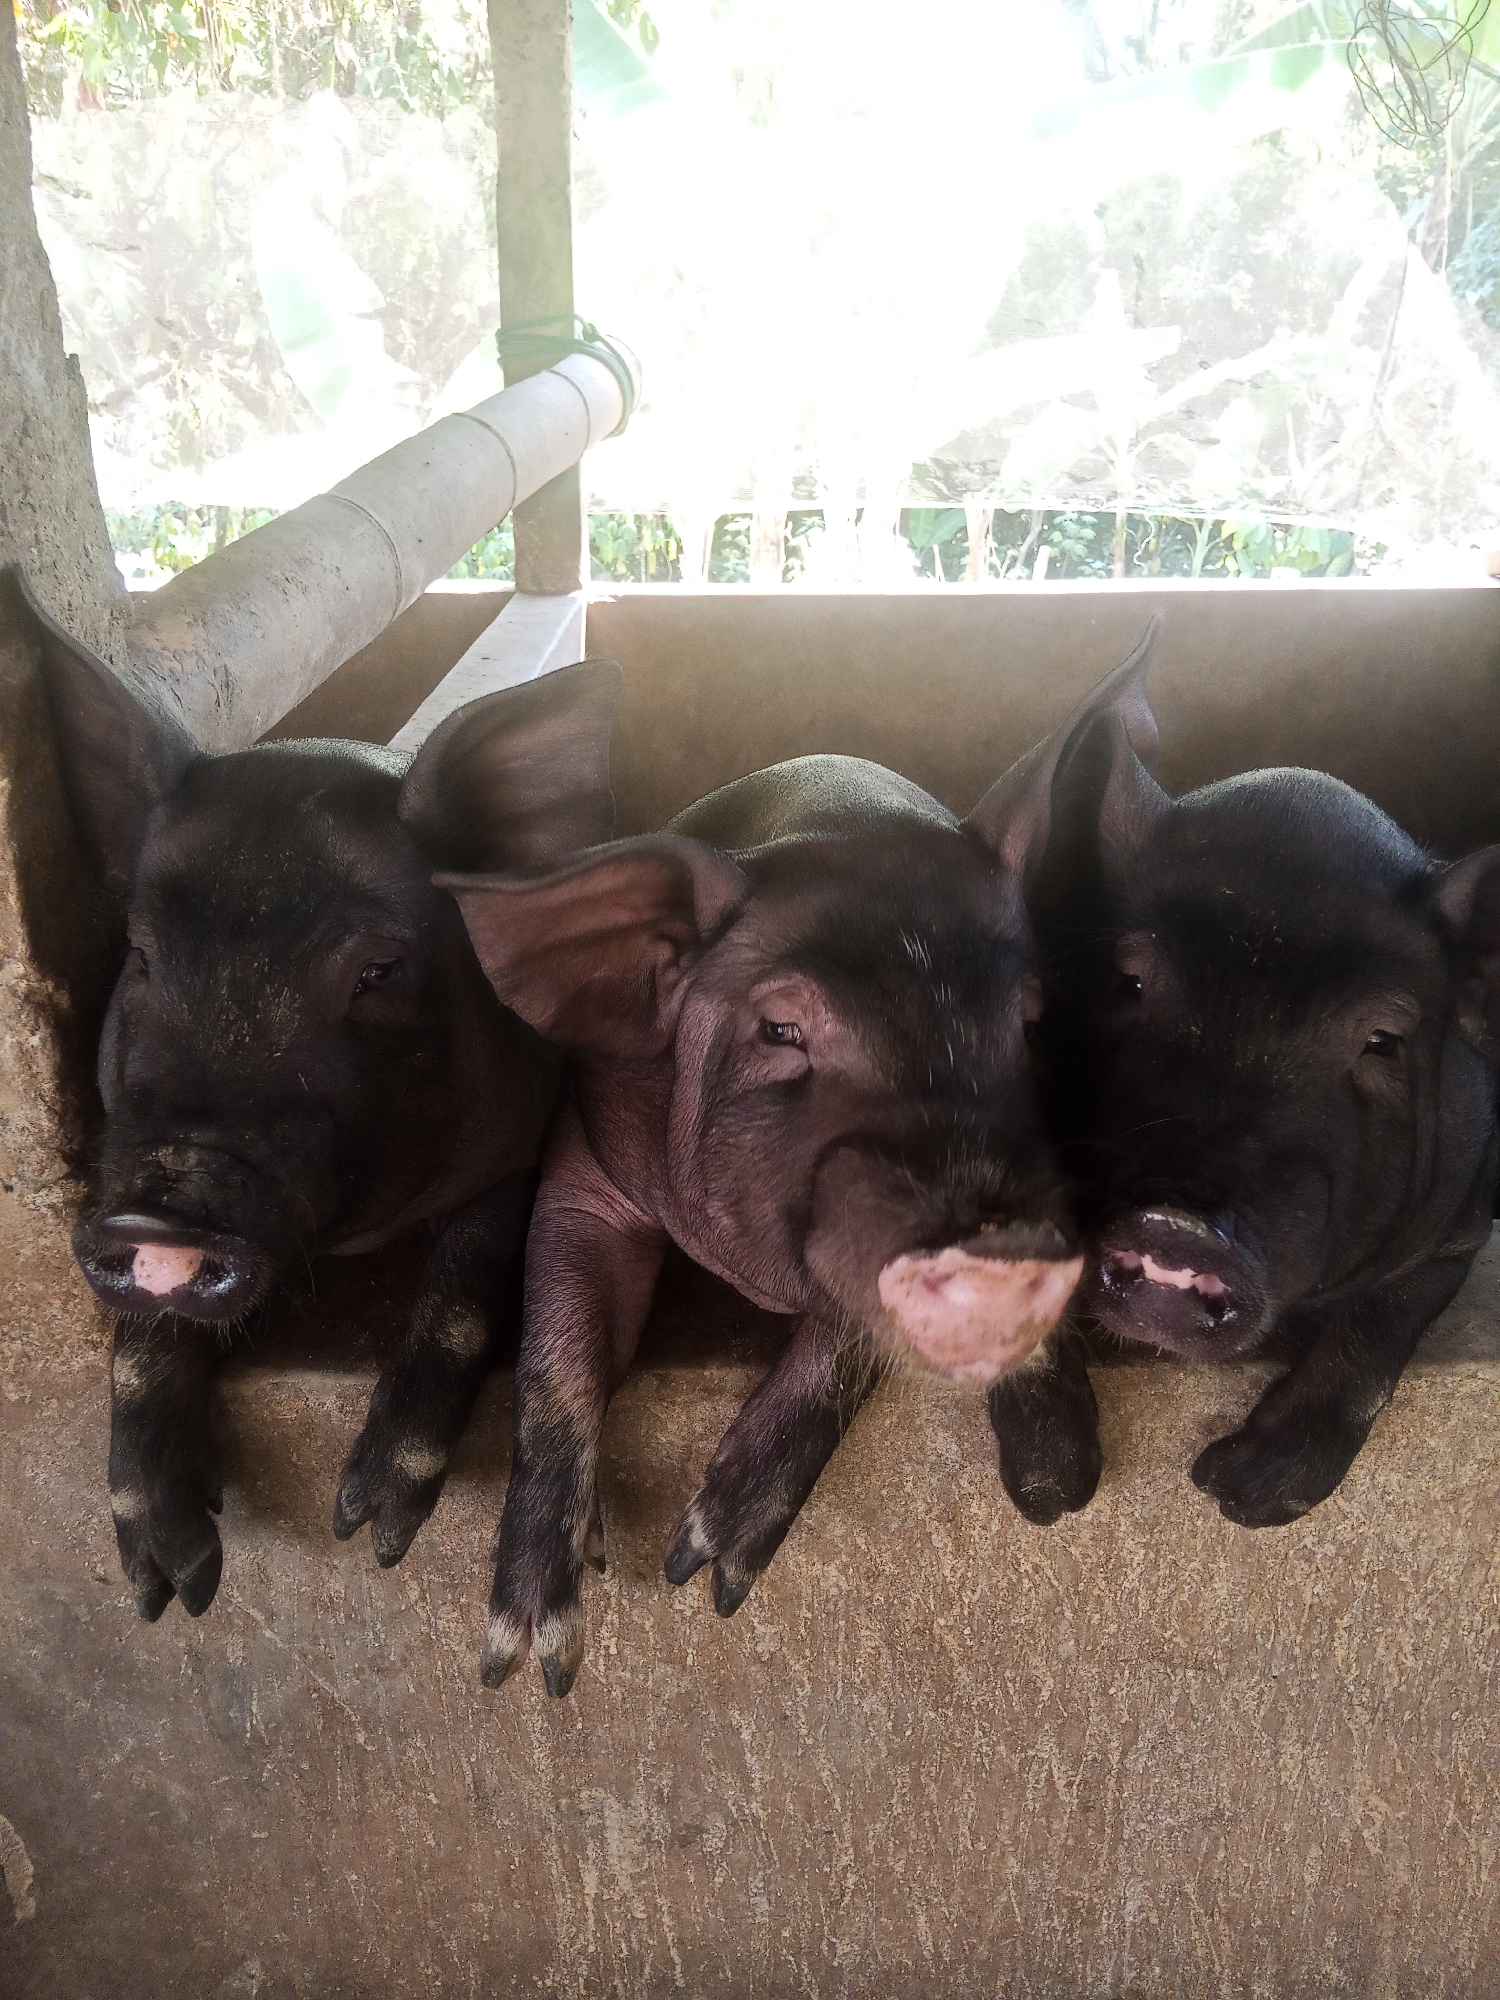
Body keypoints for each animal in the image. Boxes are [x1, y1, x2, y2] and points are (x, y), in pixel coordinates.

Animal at [14, 565, 619, 1620]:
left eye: (377, 971)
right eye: (142, 956)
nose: (163, 1211)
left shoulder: (524, 1141)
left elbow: (466, 1275)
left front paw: (368, 1529)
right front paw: (168, 1587)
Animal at [439, 716, 1118, 1697]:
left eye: (1027, 1028)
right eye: (782, 1030)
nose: (1011, 1245)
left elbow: (843, 1341)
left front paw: (704, 1573)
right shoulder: (586, 1161)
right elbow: (556, 1359)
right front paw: (532, 1663)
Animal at [989, 615, 1500, 1529]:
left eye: (1381, 1038)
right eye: (1130, 980)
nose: (1174, 1221)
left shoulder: (1461, 1219)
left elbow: (1381, 1328)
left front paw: (1240, 1497)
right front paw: (1054, 1496)